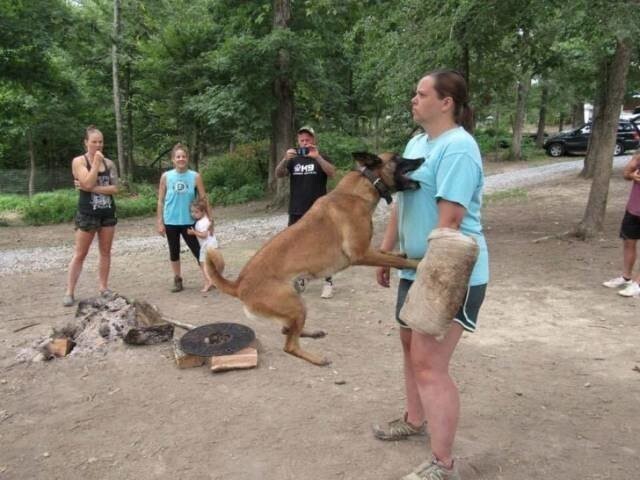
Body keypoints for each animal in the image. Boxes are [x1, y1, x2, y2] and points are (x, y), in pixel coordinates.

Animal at [206, 152, 424, 366]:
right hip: (295, 306)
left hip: (295, 303)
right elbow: (399, 262)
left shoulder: (368, 250)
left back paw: (311, 333)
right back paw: (317, 359)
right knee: (290, 345)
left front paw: (401, 253)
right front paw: (418, 263)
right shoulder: (361, 253)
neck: (361, 188)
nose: (422, 159)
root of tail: (239, 285)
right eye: (397, 158)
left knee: (287, 330)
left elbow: (388, 254)